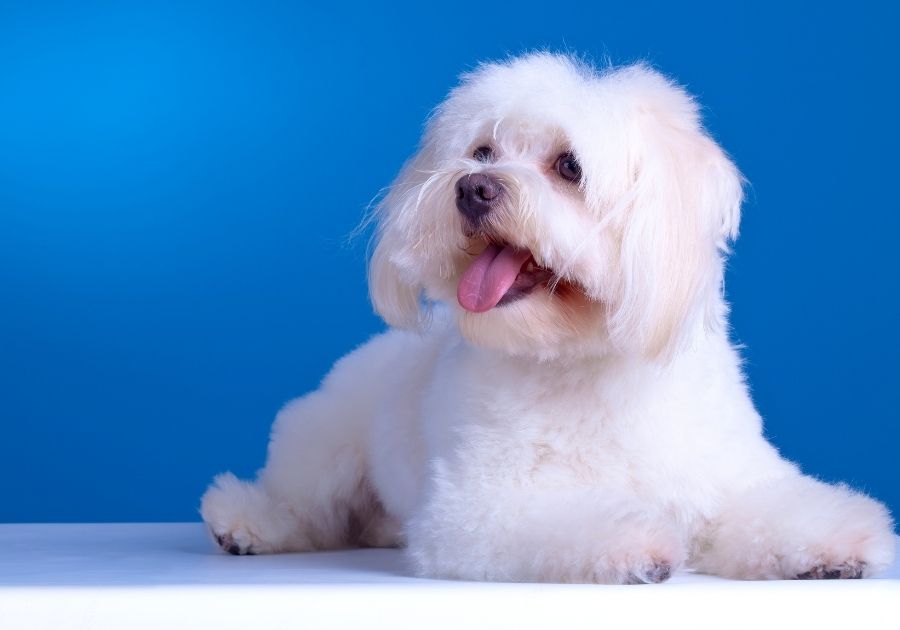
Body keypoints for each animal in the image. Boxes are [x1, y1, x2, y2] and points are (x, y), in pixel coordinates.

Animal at [200, 51, 896, 584]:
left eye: (569, 166)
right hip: (324, 450)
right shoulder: (481, 507)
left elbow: (766, 511)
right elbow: (576, 522)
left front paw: (831, 545)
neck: (584, 362)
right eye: (482, 151)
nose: (473, 187)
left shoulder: (726, 478)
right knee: (302, 507)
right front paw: (633, 545)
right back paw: (244, 520)